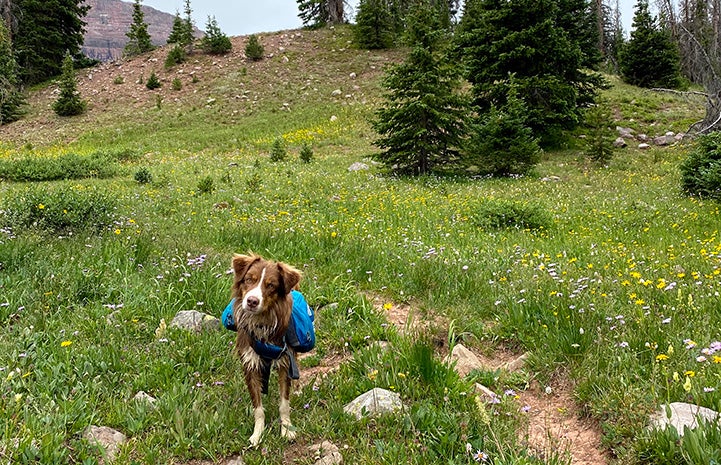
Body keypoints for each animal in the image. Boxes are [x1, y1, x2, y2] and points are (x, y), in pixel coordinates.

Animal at [229, 254, 300, 446]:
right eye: (248, 279)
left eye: (271, 285)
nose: (252, 301)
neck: (261, 322)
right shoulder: (249, 364)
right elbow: (258, 408)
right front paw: (258, 434)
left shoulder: (285, 360)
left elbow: (284, 404)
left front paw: (287, 429)